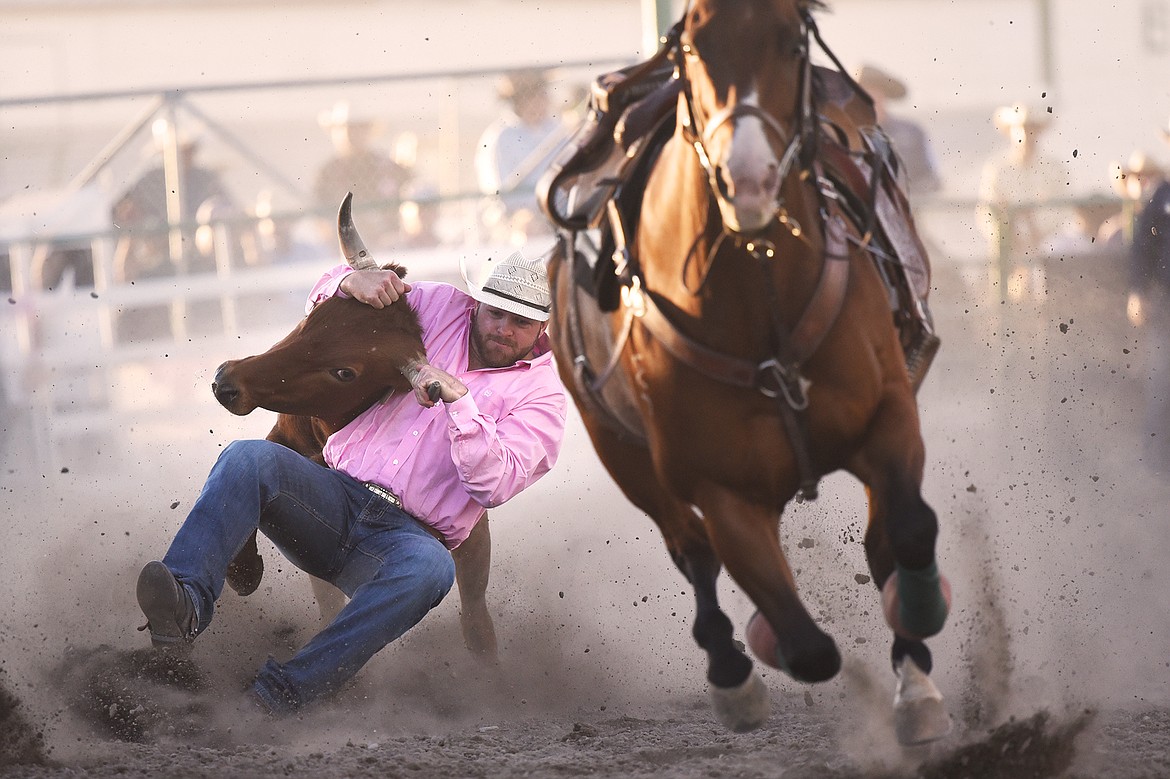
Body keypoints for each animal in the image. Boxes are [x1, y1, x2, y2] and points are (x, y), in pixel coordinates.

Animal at [542, 0, 954, 739]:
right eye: (693, 51)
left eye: (791, 42)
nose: (750, 181)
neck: (762, 306)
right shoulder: (720, 487)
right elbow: (806, 643)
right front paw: (764, 648)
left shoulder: (889, 417)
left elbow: (904, 533)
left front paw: (918, 669)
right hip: (620, 449)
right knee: (691, 549)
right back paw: (733, 671)